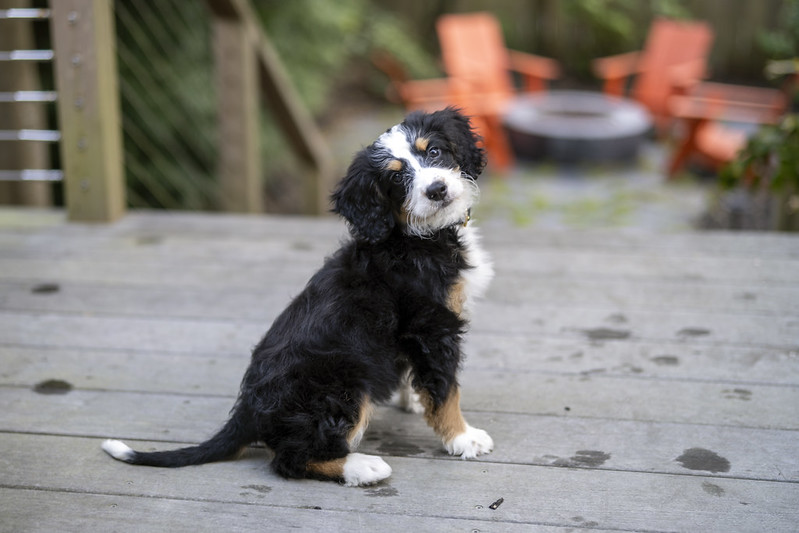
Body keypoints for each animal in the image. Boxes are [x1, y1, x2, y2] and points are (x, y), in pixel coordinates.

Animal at [104, 106, 496, 484]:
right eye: (397, 179)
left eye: (434, 152)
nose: (437, 190)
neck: (414, 236)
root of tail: (248, 411)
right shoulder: (433, 325)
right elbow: (446, 389)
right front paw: (463, 438)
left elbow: (423, 379)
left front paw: (413, 399)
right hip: (344, 387)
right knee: (290, 460)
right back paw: (362, 468)